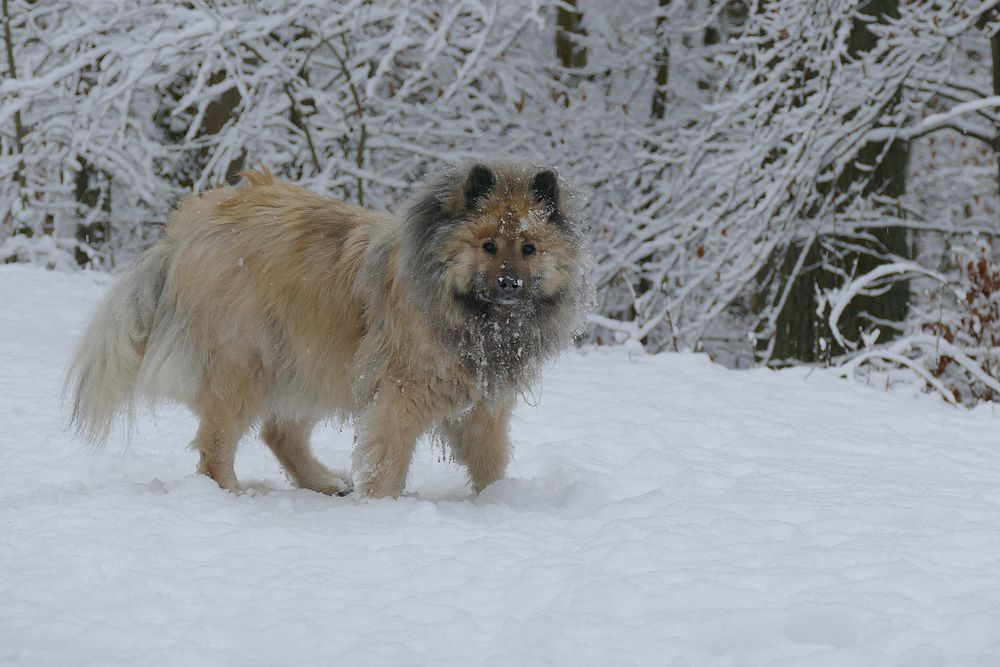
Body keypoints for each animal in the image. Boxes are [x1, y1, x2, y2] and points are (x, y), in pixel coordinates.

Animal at [66, 160, 588, 496]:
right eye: (488, 246)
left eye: (529, 248)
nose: (509, 284)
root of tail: (186, 230)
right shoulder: (400, 397)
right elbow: (387, 460)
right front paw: (383, 507)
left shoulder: (483, 406)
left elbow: (489, 460)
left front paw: (498, 503)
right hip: (248, 364)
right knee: (217, 446)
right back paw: (231, 495)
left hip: (306, 361)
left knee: (280, 435)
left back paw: (322, 483)